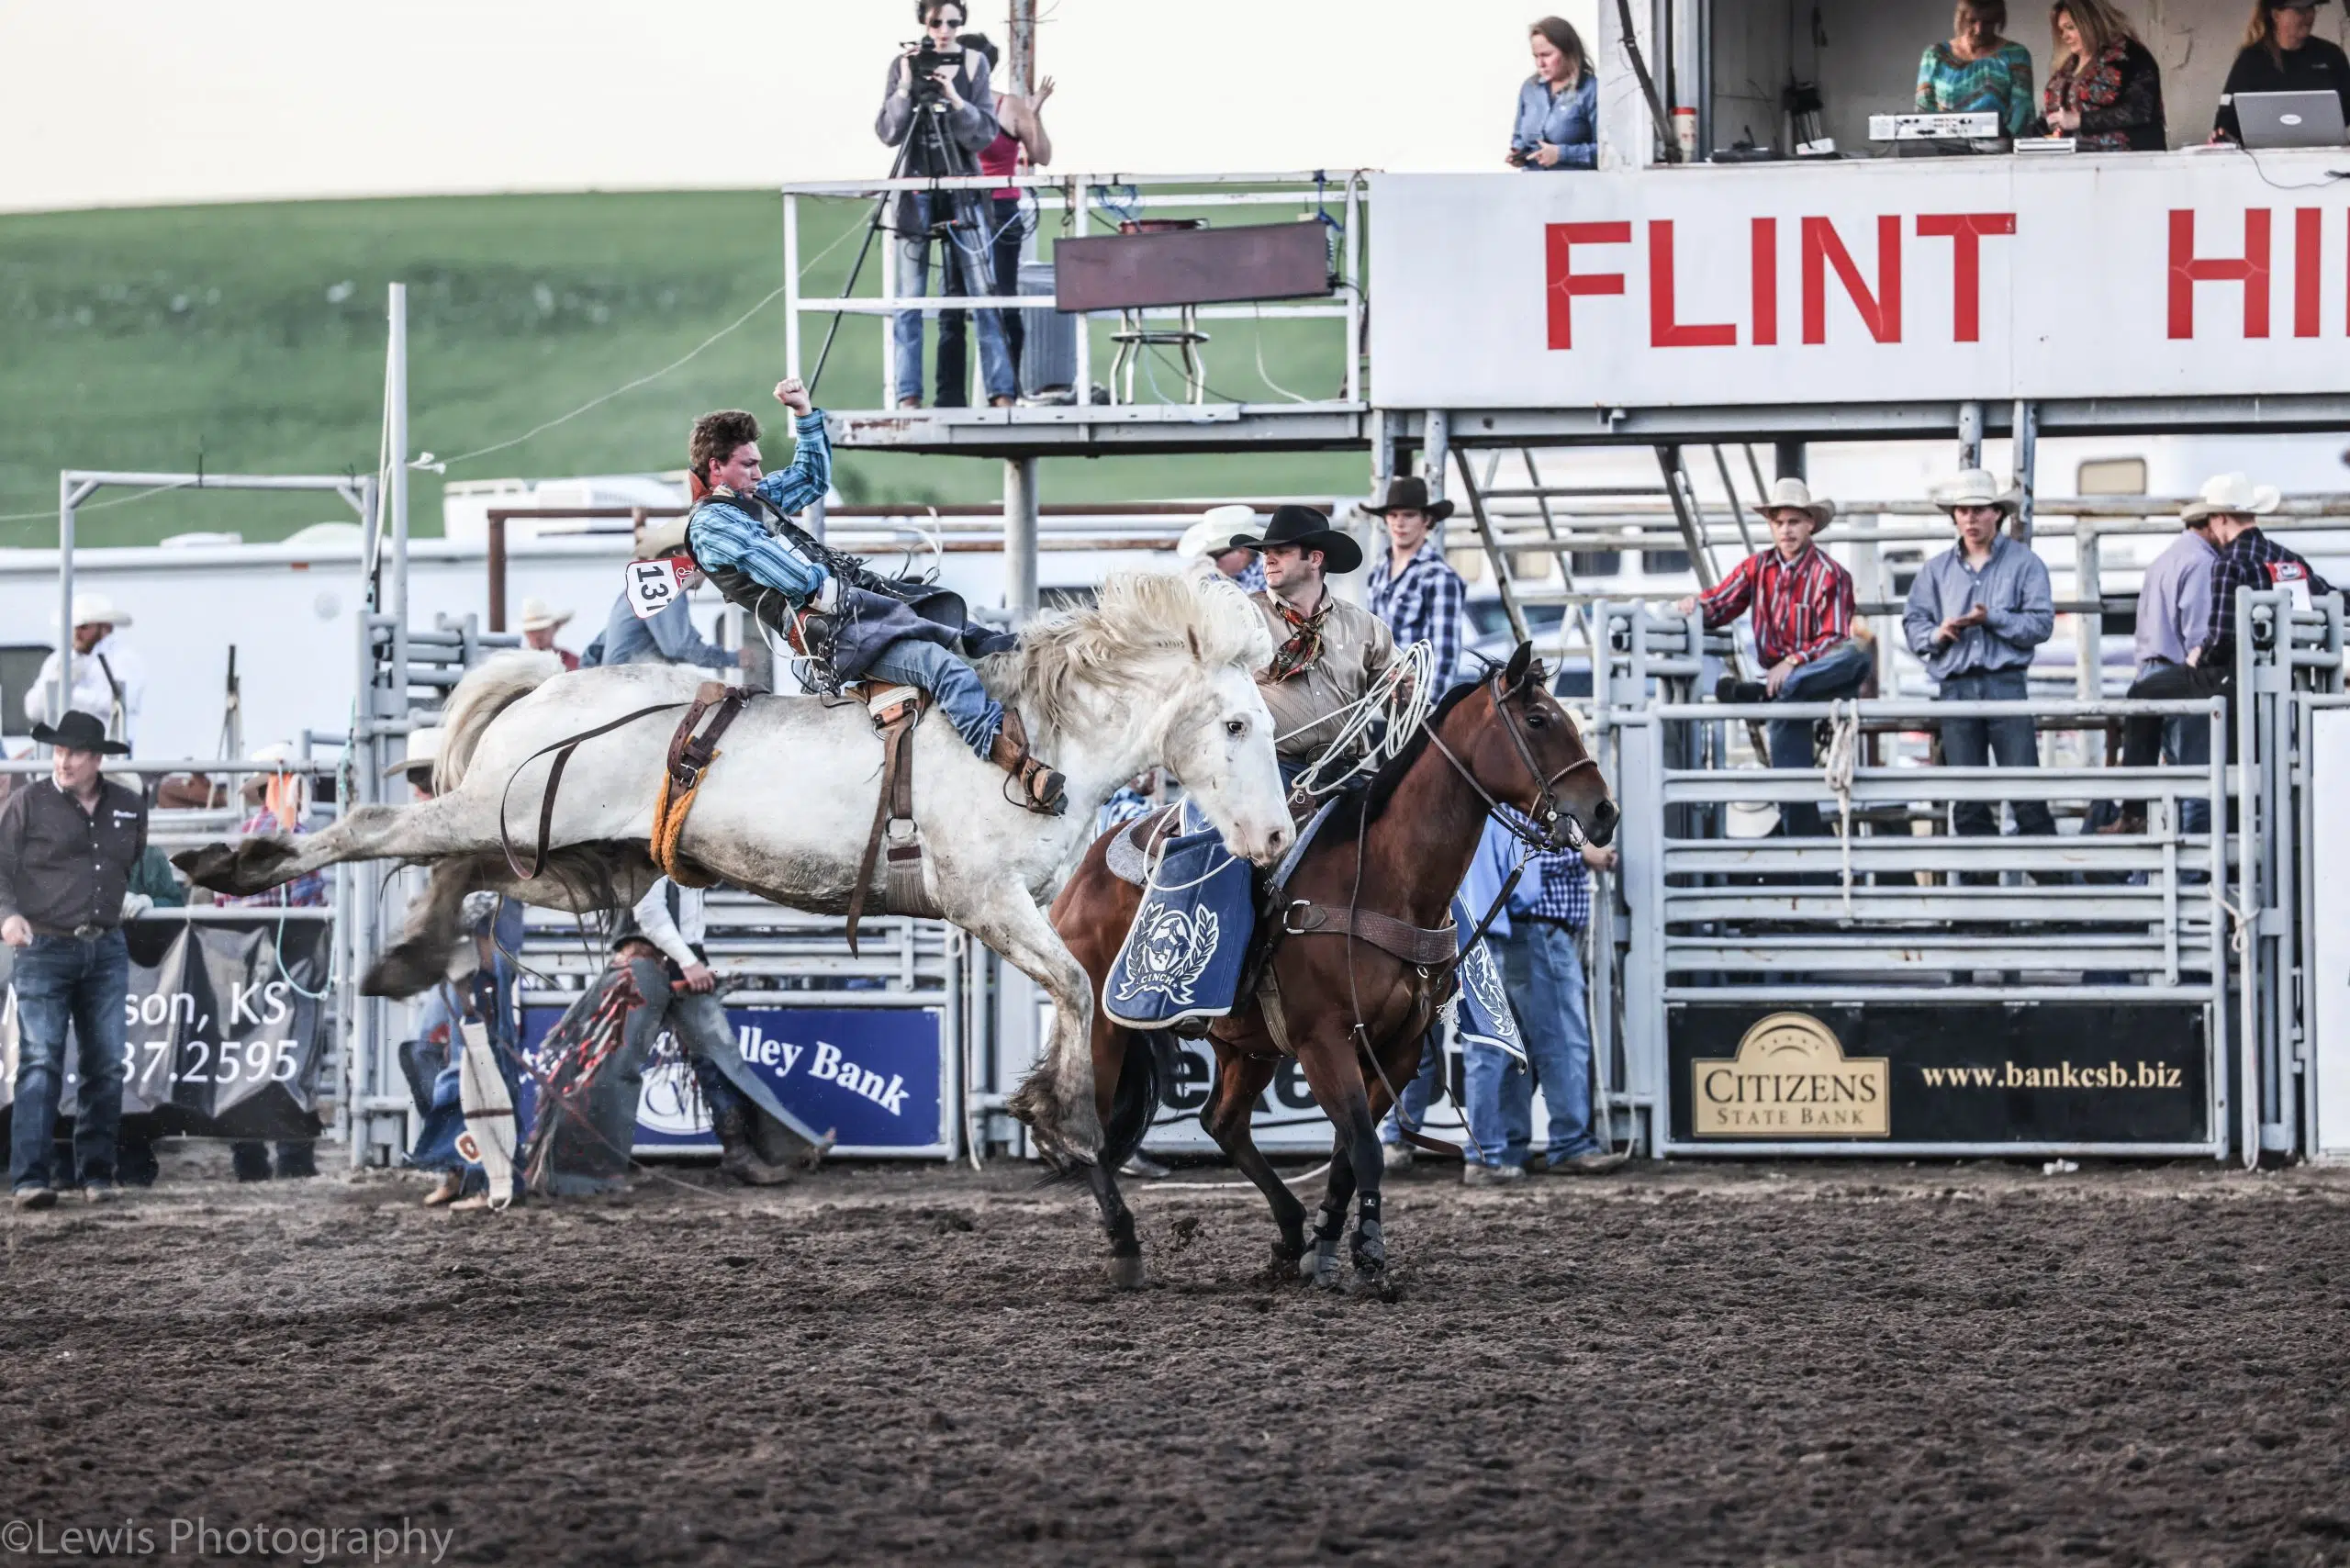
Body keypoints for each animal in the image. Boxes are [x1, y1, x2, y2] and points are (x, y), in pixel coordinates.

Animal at [178, 571, 1287, 1160]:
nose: (1276, 840)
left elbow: (1074, 987)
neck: (1031, 737)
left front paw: (1053, 1108)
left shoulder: (1025, 905)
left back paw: (407, 953)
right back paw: (237, 862)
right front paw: (1066, 1115)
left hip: (562, 856)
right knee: (373, 818)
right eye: (1235, 723)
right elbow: (1070, 983)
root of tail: (549, 690)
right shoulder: (981, 897)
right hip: (515, 821)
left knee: (456, 875)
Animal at [1052, 644, 1617, 1297]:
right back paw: (1125, 1245)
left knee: (1223, 1122)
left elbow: (1350, 1151)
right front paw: (1369, 1257)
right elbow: (1365, 1147)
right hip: (1102, 1026)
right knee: (1089, 1127)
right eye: (1538, 720)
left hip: (1247, 1046)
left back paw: (1289, 1233)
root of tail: (1085, 869)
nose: (1604, 811)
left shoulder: (1398, 1047)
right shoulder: (1323, 1040)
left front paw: (1324, 1244)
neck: (1384, 878)